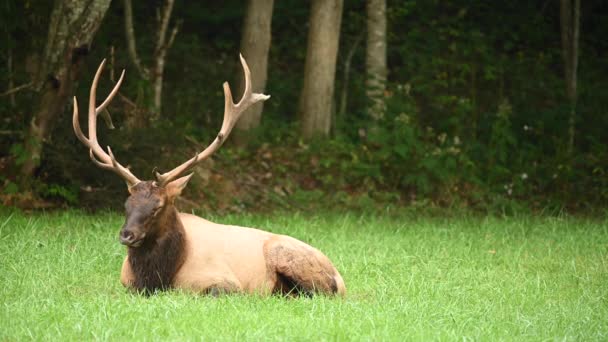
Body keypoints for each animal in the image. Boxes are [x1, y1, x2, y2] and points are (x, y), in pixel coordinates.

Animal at [73, 55, 344, 296]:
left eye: (158, 206)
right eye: (126, 203)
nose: (127, 234)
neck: (156, 279)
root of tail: (340, 279)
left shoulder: (223, 280)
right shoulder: (126, 284)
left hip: (291, 258)